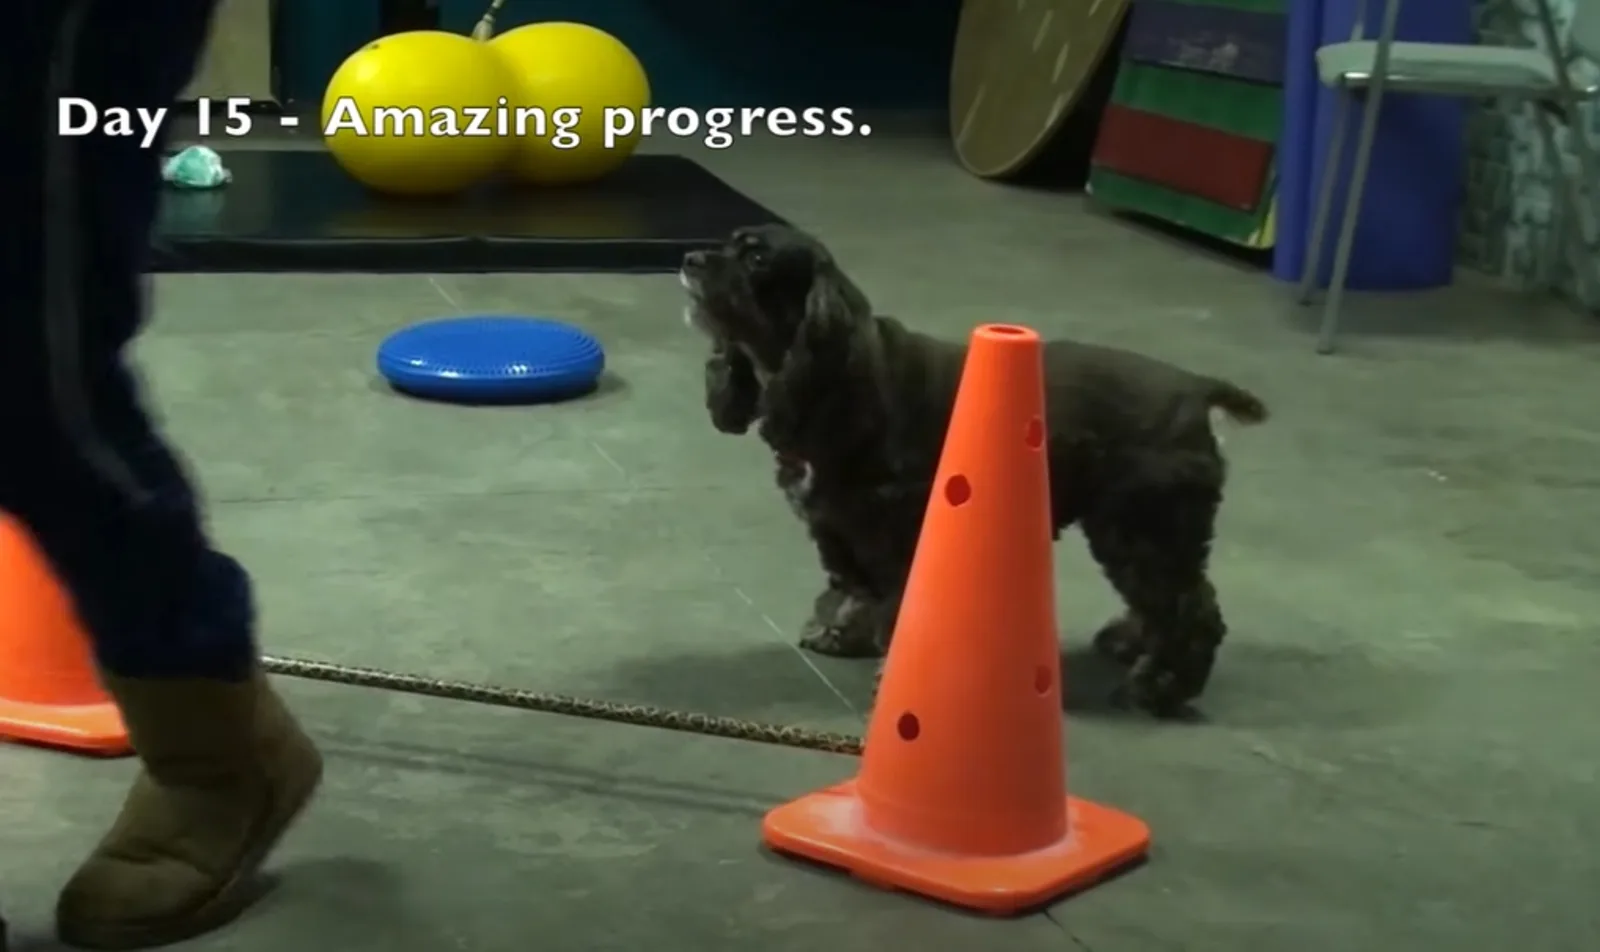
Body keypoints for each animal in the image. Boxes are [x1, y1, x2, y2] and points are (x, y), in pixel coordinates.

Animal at [681, 224, 1267, 716]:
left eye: (757, 257)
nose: (688, 258)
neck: (837, 377)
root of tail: (1196, 388)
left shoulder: (898, 538)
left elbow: (897, 615)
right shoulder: (839, 529)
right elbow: (853, 591)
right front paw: (843, 635)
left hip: (1144, 527)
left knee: (1192, 610)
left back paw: (1160, 688)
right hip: (1129, 528)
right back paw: (1130, 646)